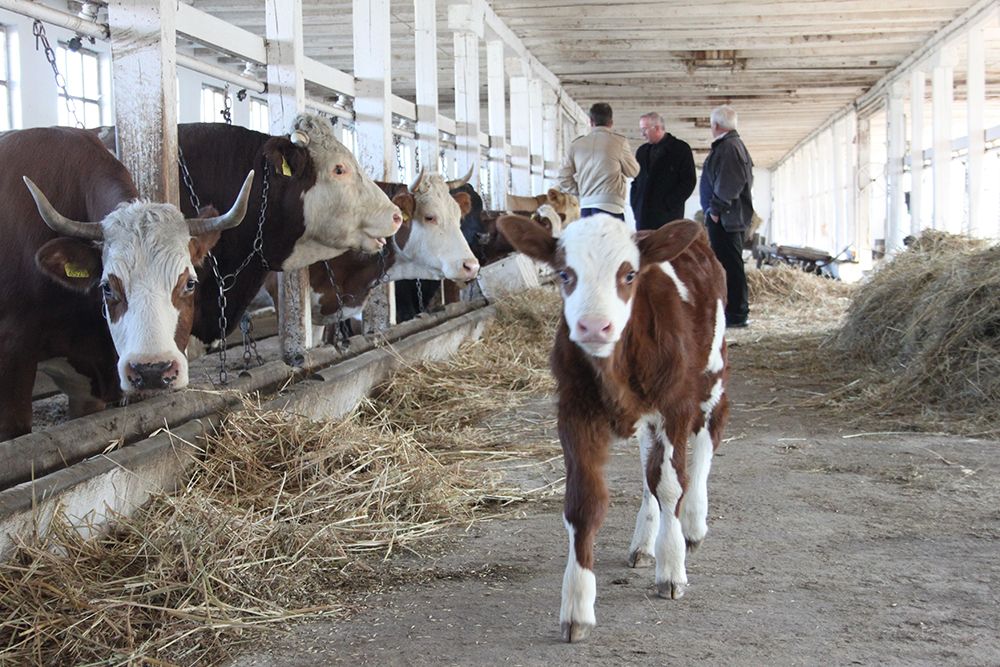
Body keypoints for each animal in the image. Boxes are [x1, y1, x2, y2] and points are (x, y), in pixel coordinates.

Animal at [498, 213, 728, 640]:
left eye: (629, 274)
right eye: (565, 273)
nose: (593, 326)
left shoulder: (675, 405)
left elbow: (671, 485)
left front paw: (672, 568)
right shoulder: (575, 412)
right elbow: (585, 503)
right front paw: (577, 607)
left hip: (713, 370)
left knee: (708, 436)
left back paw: (692, 523)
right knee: (648, 467)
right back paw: (644, 541)